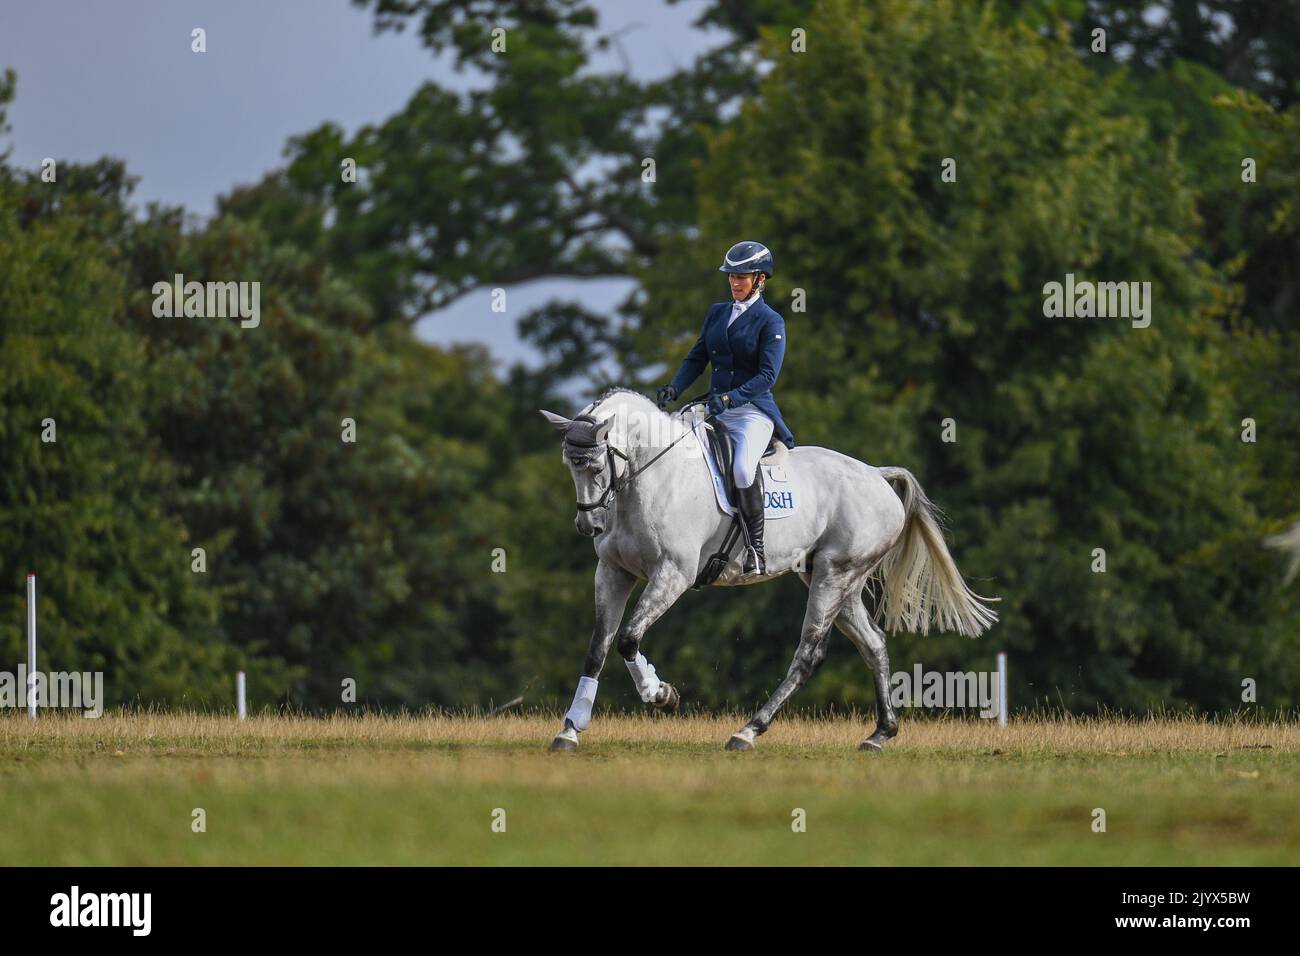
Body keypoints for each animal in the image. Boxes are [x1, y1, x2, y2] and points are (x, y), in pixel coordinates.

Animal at [538, 390, 993, 754]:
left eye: (596, 467)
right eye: (569, 465)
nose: (589, 526)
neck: (651, 478)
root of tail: (877, 476)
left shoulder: (673, 575)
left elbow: (629, 638)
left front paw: (661, 694)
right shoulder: (613, 572)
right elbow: (598, 648)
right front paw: (570, 730)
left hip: (834, 575)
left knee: (808, 655)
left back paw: (748, 731)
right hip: (836, 580)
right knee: (873, 645)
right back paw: (880, 734)